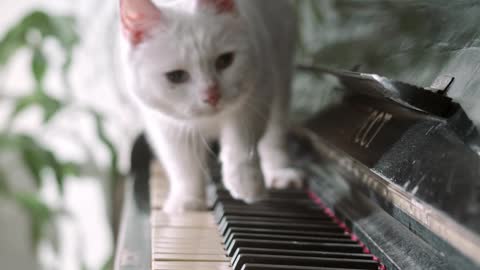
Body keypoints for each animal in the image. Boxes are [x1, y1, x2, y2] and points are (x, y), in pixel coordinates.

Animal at [118, 0, 302, 212]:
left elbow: (241, 142)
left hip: (281, 70)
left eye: (225, 60)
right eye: (176, 76)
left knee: (275, 134)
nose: (212, 95)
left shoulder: (257, 94)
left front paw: (247, 184)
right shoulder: (165, 124)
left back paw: (280, 173)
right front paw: (187, 201)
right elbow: (183, 164)